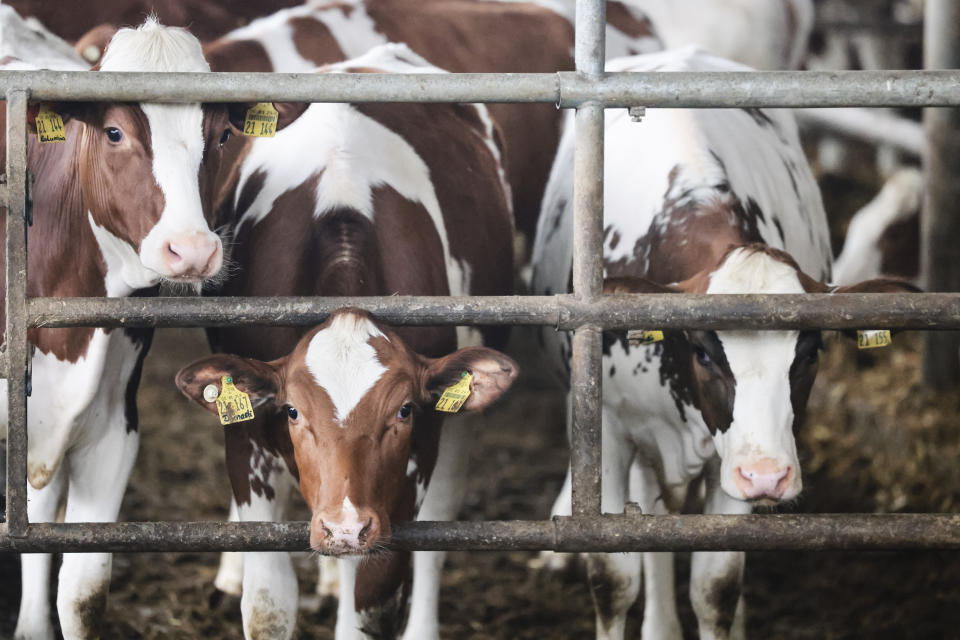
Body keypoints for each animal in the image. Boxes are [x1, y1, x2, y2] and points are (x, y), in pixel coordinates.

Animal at [172, 46, 516, 640]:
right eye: (292, 410)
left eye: (403, 410)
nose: (345, 527)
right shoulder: (247, 440)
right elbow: (267, 603)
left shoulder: (413, 464)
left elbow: (372, 601)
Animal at [528, 48, 920, 640]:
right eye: (704, 352)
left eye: (809, 353)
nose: (767, 476)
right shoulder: (610, 432)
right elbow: (613, 577)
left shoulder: (729, 456)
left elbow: (716, 585)